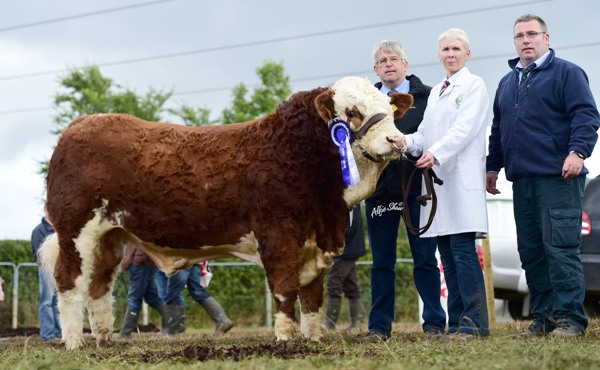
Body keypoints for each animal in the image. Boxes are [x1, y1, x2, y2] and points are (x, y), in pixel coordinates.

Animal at [39, 76, 410, 350]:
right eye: (353, 112)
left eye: (389, 111)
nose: (397, 141)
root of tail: (80, 126)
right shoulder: (278, 234)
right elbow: (285, 287)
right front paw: (286, 339)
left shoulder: (315, 241)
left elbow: (313, 295)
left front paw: (314, 338)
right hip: (76, 230)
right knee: (69, 280)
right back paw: (74, 342)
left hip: (110, 236)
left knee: (99, 284)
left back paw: (104, 339)